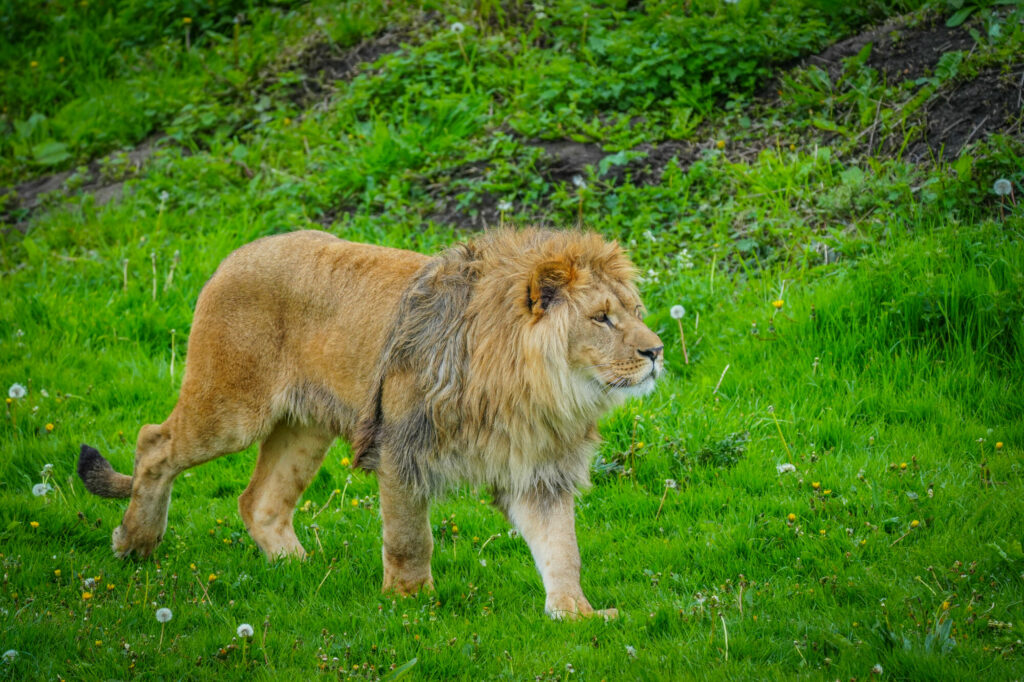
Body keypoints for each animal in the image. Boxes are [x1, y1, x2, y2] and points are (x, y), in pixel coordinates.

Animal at [78, 228, 663, 619]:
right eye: (601, 318)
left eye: (635, 312)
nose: (656, 351)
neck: (533, 391)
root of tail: (234, 255)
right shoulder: (401, 449)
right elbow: (410, 538)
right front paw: (411, 604)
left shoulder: (539, 472)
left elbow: (562, 548)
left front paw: (577, 614)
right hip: (229, 408)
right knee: (154, 444)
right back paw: (135, 543)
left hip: (305, 428)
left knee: (258, 501)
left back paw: (301, 568)